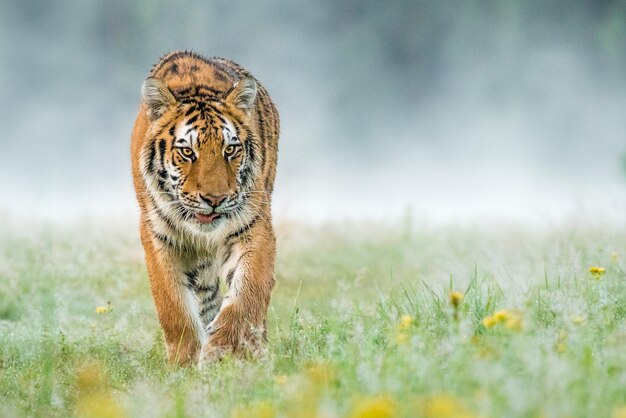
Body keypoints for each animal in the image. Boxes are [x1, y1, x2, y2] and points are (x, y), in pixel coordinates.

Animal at [129, 50, 278, 366]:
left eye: (230, 149)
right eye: (187, 152)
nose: (215, 199)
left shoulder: (254, 228)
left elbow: (247, 294)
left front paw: (225, 352)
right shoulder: (158, 236)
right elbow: (174, 307)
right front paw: (184, 363)